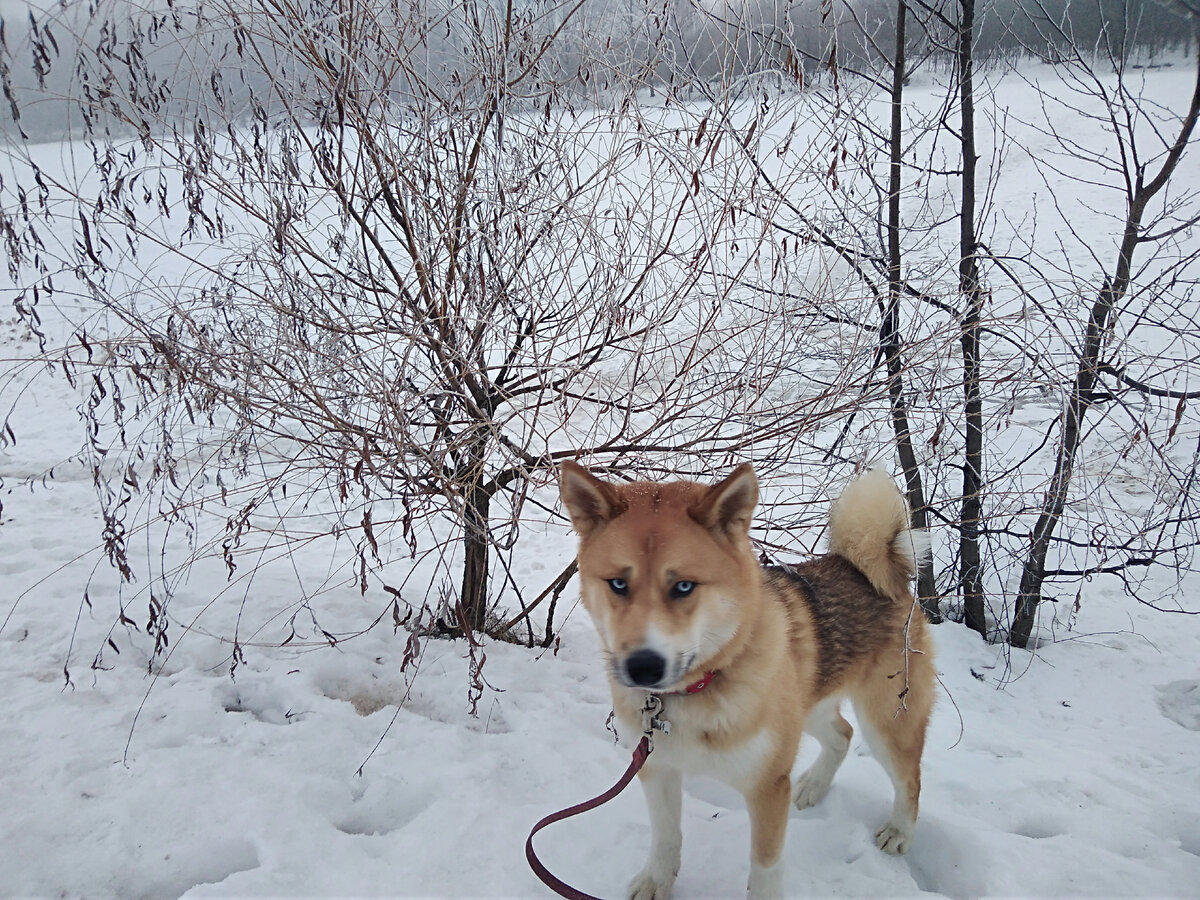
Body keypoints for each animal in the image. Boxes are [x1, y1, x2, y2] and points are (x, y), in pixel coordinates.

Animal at [556, 465, 931, 900]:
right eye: (618, 583)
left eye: (683, 586)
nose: (642, 667)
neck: (694, 691)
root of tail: (873, 569)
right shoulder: (657, 767)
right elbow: (666, 836)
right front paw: (657, 881)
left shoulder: (767, 787)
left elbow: (764, 870)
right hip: (807, 706)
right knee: (842, 733)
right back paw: (814, 786)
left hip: (887, 719)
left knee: (909, 779)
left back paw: (899, 832)